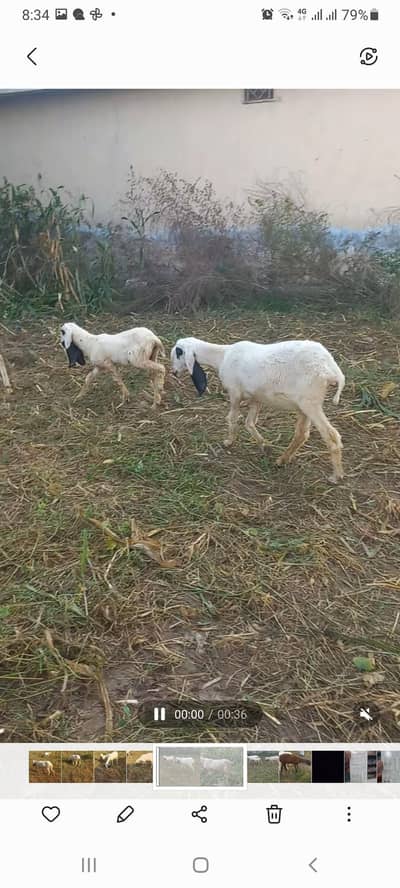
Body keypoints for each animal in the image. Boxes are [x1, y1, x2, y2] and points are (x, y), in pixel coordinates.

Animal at [171, 336, 345, 482]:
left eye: (178, 353)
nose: (173, 372)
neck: (222, 356)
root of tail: (333, 370)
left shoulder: (234, 393)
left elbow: (232, 418)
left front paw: (229, 441)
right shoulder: (256, 398)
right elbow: (250, 422)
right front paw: (263, 445)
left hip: (310, 402)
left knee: (331, 436)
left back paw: (336, 476)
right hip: (304, 406)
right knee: (302, 434)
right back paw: (282, 459)